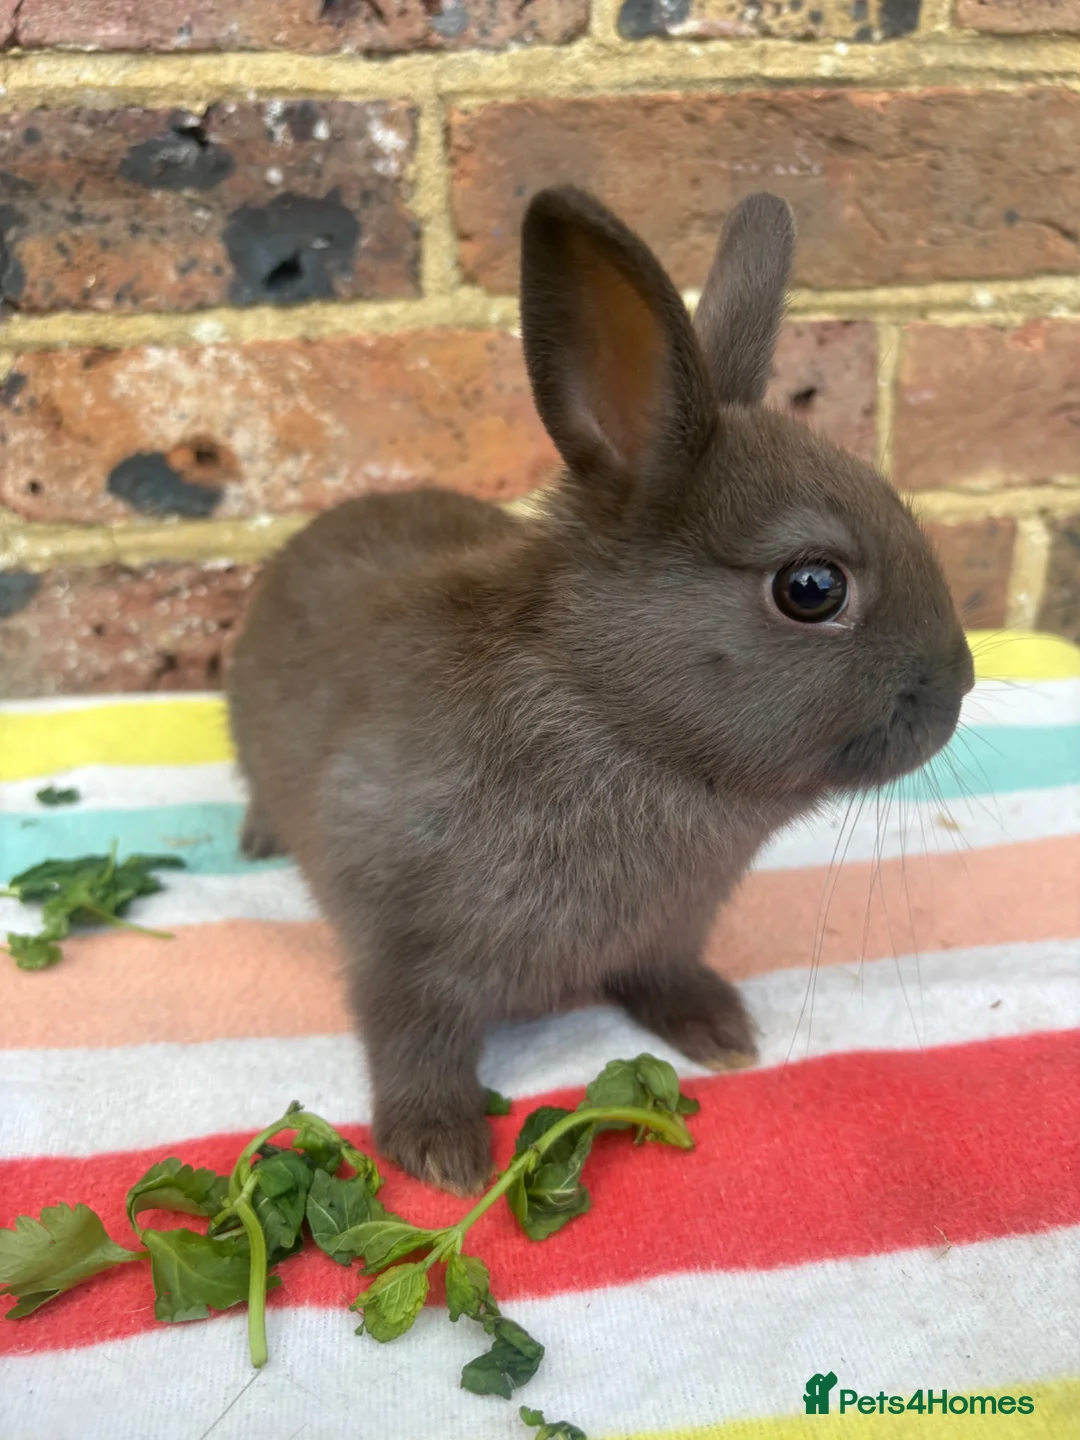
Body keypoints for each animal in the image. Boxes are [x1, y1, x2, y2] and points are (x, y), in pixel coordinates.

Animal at [226, 186, 974, 1195]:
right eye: (812, 587)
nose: (960, 686)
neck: (613, 721)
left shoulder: (670, 929)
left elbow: (664, 974)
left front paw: (721, 1033)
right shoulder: (402, 951)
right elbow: (414, 1039)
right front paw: (443, 1153)